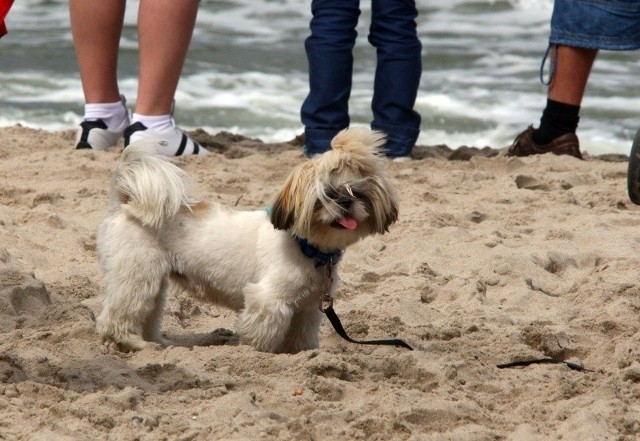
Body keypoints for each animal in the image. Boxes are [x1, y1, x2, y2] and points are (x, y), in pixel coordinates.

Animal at [95, 127, 398, 354]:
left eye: (359, 193)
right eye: (328, 195)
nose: (346, 202)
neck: (308, 248)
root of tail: (125, 203)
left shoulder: (308, 308)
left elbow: (301, 338)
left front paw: (302, 355)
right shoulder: (268, 300)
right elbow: (262, 336)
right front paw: (259, 353)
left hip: (153, 281)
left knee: (147, 312)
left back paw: (155, 342)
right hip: (138, 274)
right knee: (115, 318)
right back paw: (134, 343)